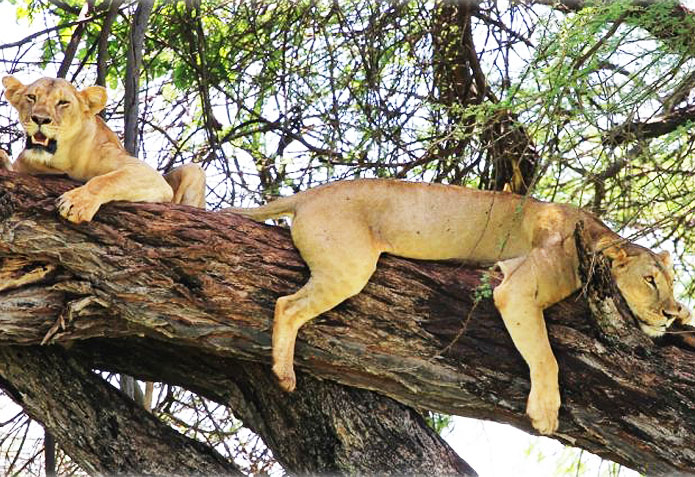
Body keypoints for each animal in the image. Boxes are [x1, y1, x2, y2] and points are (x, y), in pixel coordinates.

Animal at [0, 76, 207, 221]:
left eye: (63, 103)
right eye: (31, 97)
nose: (40, 119)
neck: (63, 160)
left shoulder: (147, 173)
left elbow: (105, 180)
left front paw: (76, 203)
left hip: (193, 170)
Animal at [232, 178, 692, 436]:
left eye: (671, 283)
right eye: (649, 280)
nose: (668, 312)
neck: (593, 237)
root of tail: (308, 194)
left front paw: (685, 318)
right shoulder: (517, 287)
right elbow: (546, 357)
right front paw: (545, 413)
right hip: (350, 266)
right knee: (286, 305)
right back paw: (284, 373)